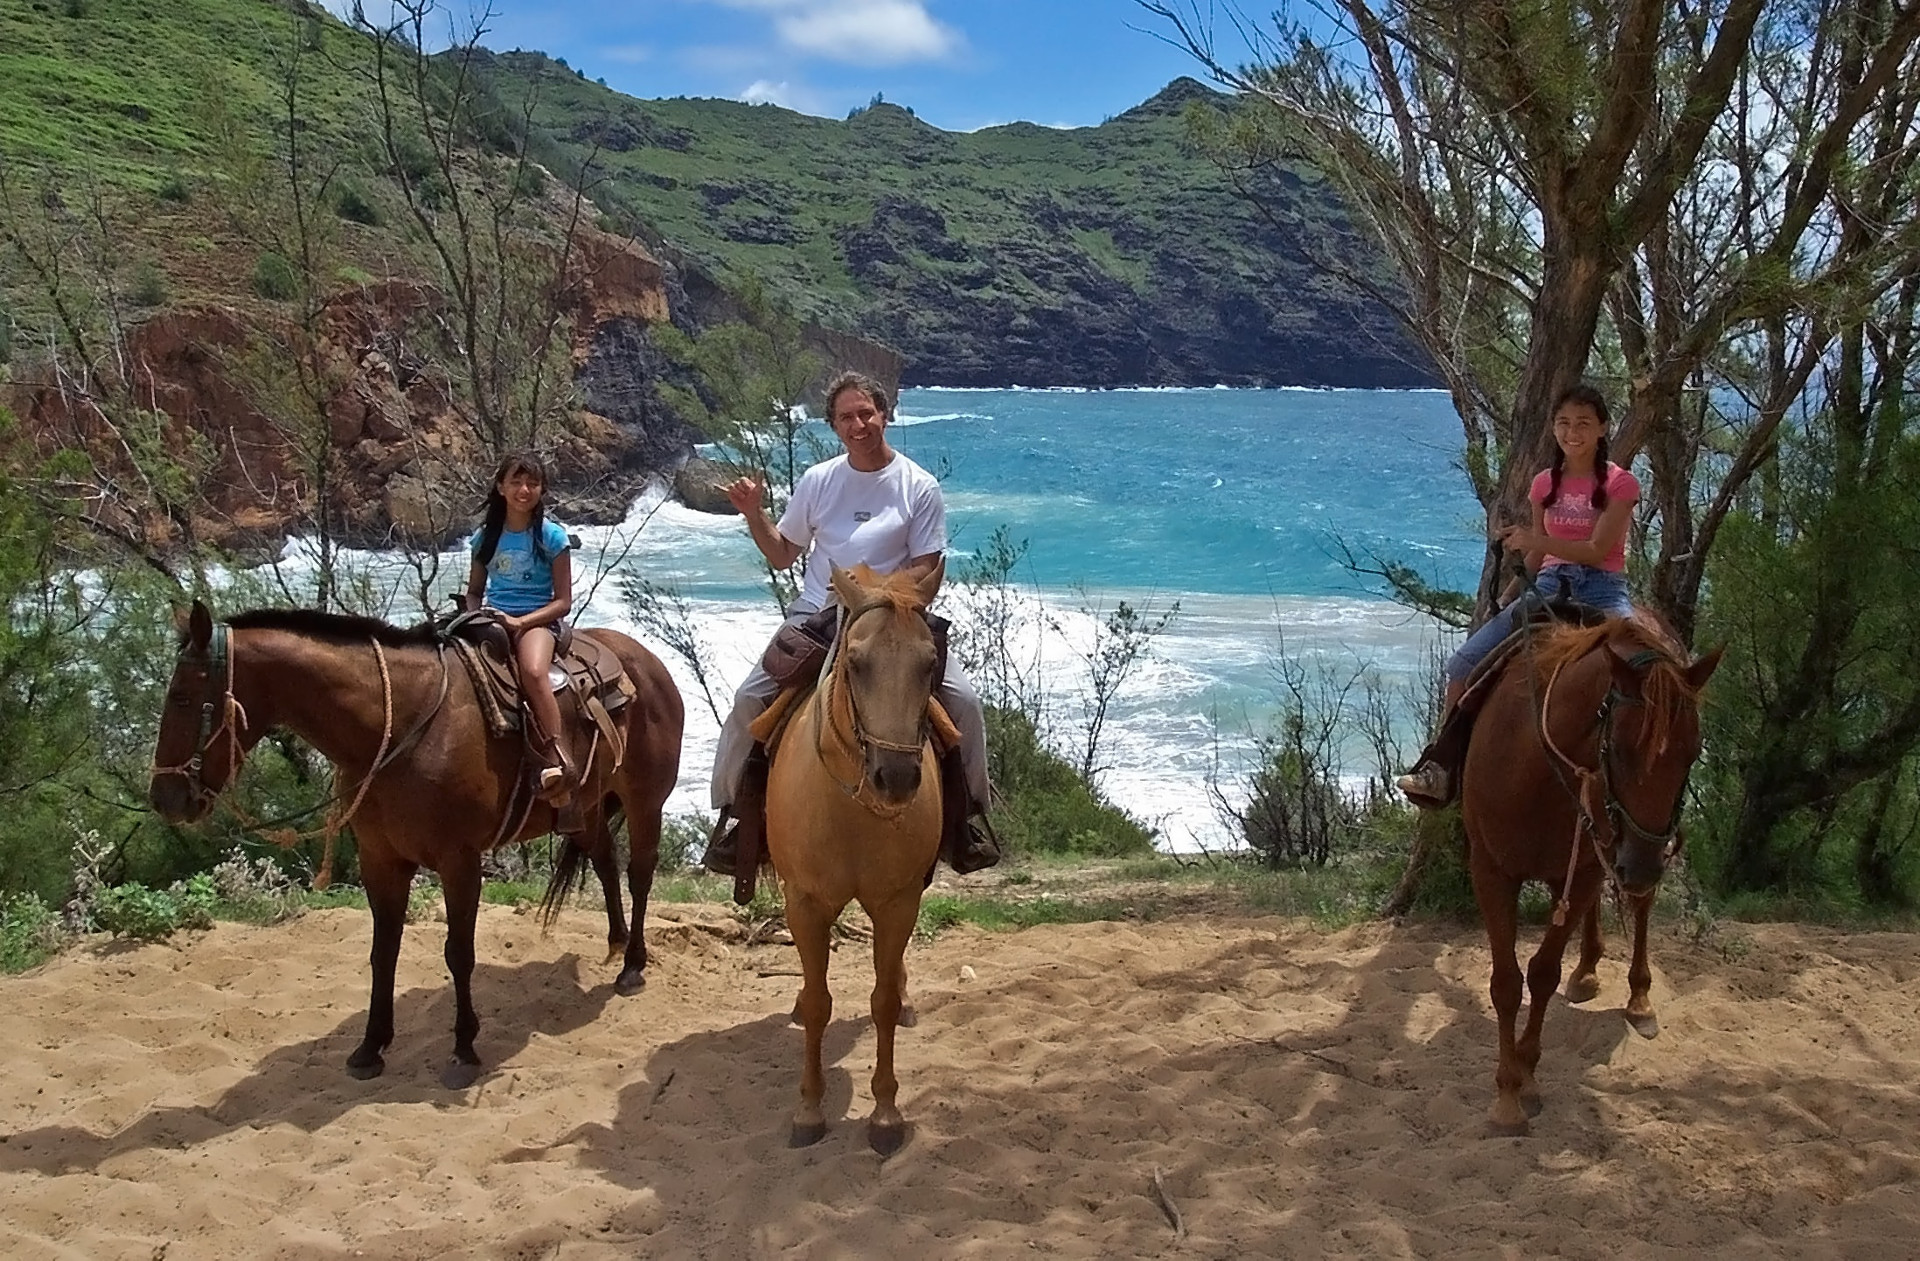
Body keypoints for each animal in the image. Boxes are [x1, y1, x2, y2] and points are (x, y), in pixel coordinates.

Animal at [153, 598, 687, 1082]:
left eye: (182, 697)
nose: (164, 798)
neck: (399, 729)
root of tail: (647, 661)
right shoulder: (380, 860)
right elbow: (382, 951)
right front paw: (371, 1046)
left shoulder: (459, 862)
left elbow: (459, 953)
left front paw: (464, 1049)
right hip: (590, 805)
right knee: (604, 859)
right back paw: (617, 942)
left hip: (644, 801)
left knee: (640, 873)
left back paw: (633, 966)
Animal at [764, 564, 944, 1159]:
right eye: (857, 663)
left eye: (930, 663)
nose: (897, 777)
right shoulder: (804, 903)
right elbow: (821, 1003)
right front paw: (809, 1111)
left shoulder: (897, 903)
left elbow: (882, 1002)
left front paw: (885, 1116)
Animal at [1459, 614, 1720, 1136]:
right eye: (1618, 747)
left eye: (1694, 751)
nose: (1641, 864)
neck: (1535, 768)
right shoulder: (1491, 872)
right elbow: (1505, 983)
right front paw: (1506, 1099)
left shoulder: (1583, 872)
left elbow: (1541, 973)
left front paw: (1526, 1076)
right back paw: (1587, 972)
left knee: (1638, 908)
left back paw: (1639, 1000)